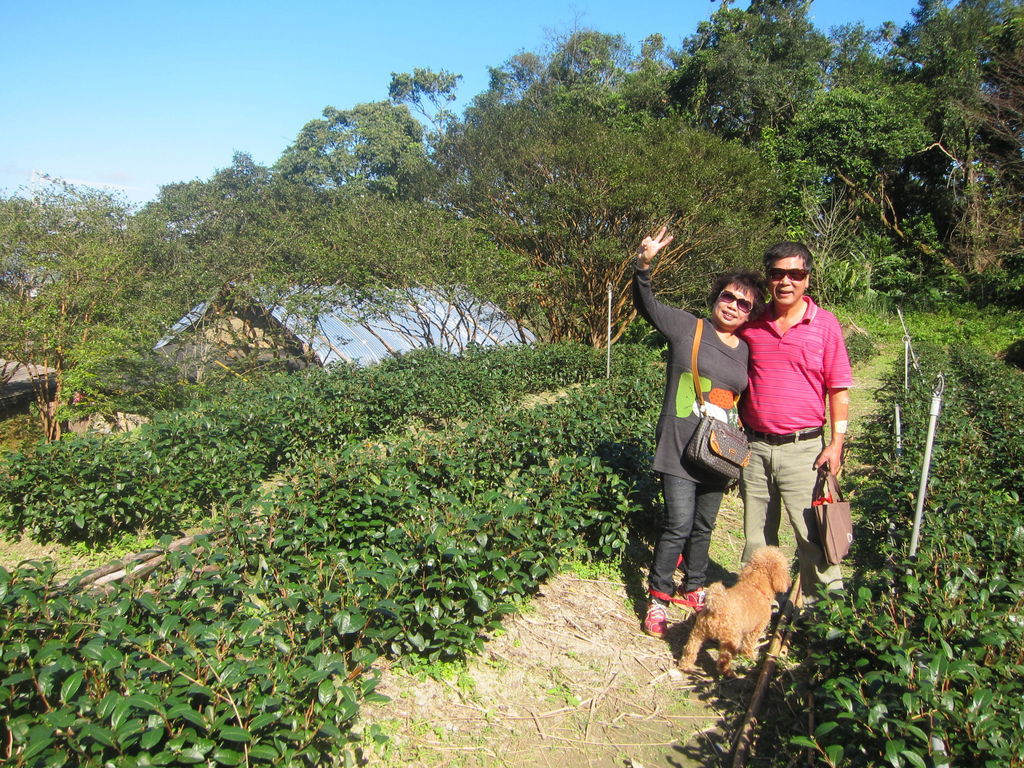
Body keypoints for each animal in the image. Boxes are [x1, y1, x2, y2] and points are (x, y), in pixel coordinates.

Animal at [679, 548, 790, 679]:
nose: (789, 581)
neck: (756, 586)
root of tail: (717, 608)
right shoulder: (756, 630)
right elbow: (748, 645)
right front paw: (750, 656)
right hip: (731, 640)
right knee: (723, 661)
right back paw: (729, 674)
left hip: (697, 633)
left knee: (690, 650)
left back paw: (685, 666)